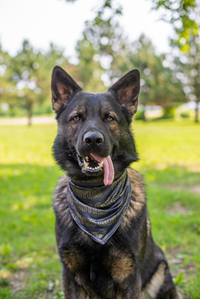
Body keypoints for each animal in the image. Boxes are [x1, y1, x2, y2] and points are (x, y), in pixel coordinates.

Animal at [50, 67, 180, 298]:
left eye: (109, 117)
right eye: (76, 118)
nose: (93, 140)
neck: (95, 197)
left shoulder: (129, 276)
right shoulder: (70, 274)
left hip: (160, 268)